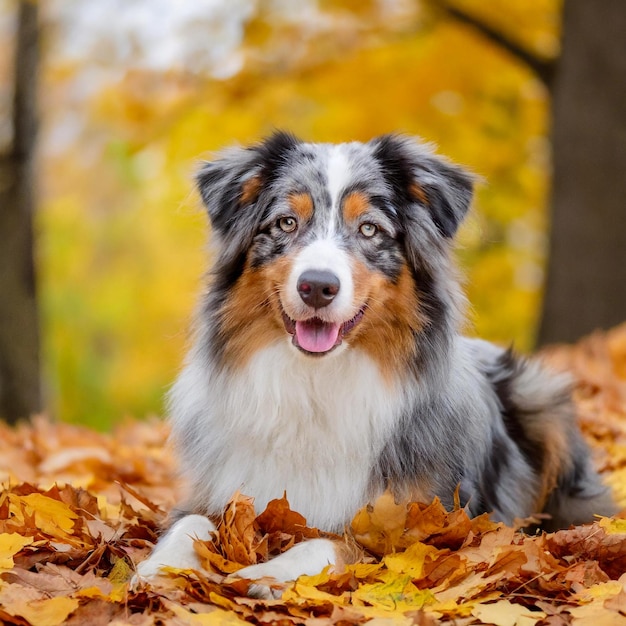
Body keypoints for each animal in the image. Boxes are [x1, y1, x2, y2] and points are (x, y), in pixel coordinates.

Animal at [135, 133, 608, 596]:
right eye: (286, 223)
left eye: (369, 229)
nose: (317, 286)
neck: (315, 383)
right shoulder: (217, 488)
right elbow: (190, 521)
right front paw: (157, 569)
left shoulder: (427, 528)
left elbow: (335, 542)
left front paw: (266, 573)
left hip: (540, 400)